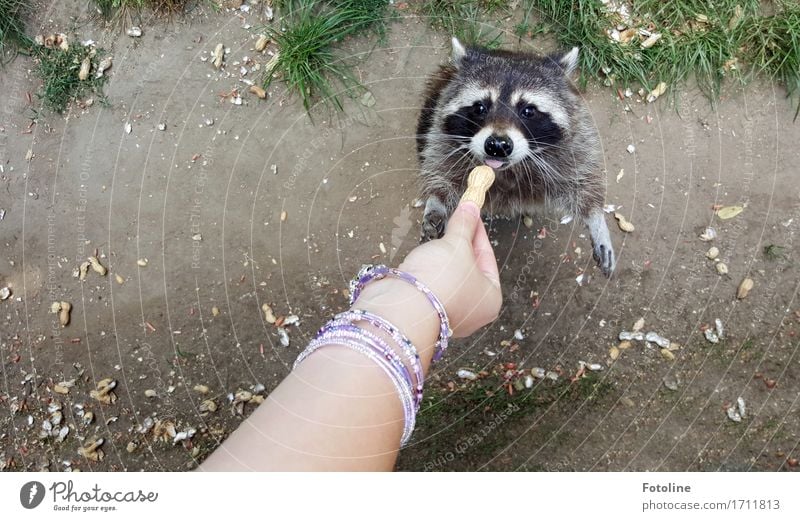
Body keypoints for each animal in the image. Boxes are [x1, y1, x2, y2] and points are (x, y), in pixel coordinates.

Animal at [416, 38, 616, 274]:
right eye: (480, 107)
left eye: (528, 111)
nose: (497, 145)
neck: (504, 170)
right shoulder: (442, 136)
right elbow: (441, 169)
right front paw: (436, 202)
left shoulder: (573, 144)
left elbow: (582, 180)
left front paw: (596, 220)